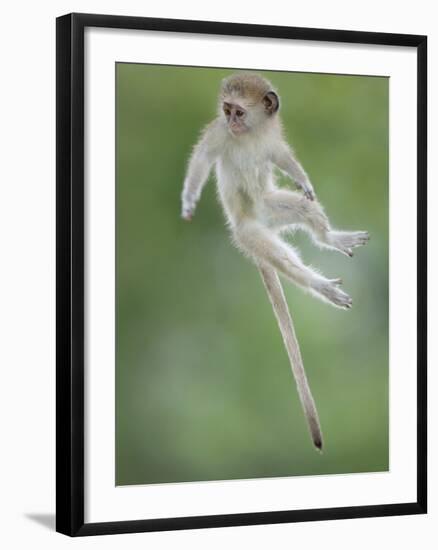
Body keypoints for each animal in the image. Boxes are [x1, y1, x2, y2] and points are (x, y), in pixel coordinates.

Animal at [181, 73, 370, 452]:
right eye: (227, 110)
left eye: (239, 111)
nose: (232, 121)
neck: (250, 134)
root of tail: (257, 222)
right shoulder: (218, 133)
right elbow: (203, 157)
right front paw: (189, 198)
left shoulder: (271, 139)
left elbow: (283, 157)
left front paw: (303, 179)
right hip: (250, 234)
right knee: (280, 257)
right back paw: (320, 285)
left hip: (272, 206)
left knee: (306, 208)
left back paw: (330, 239)